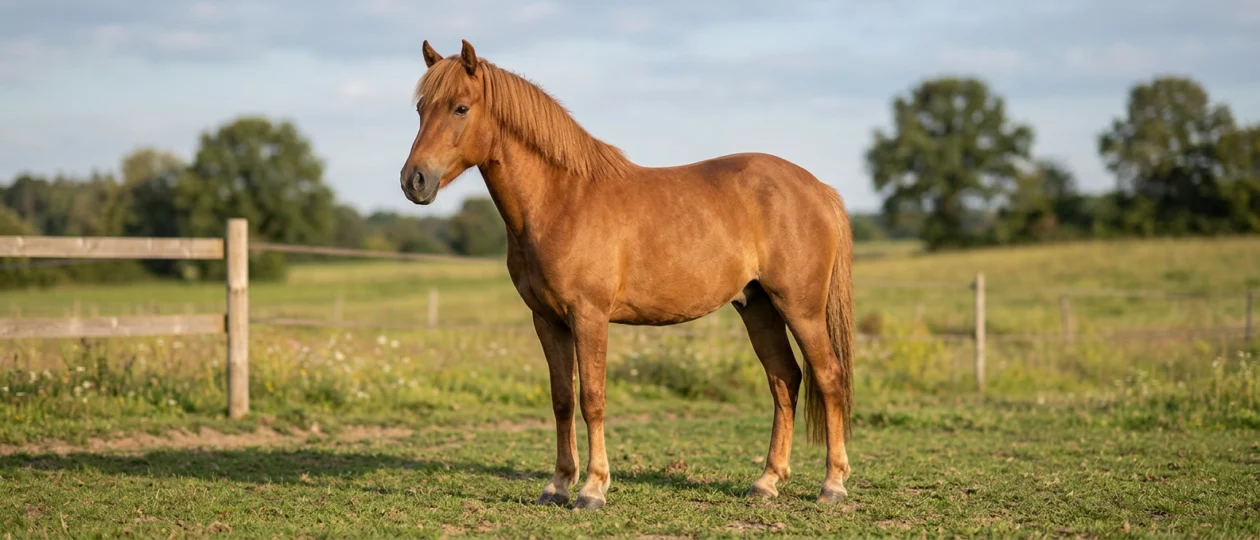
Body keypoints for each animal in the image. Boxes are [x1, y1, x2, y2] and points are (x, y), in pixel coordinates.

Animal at [400, 39, 856, 510]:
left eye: (460, 108)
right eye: (420, 107)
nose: (414, 181)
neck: (562, 201)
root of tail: (817, 188)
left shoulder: (590, 317)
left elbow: (592, 398)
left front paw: (593, 488)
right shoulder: (547, 321)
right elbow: (562, 399)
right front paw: (558, 484)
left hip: (800, 308)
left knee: (829, 377)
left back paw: (832, 484)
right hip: (758, 308)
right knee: (785, 380)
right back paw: (767, 481)